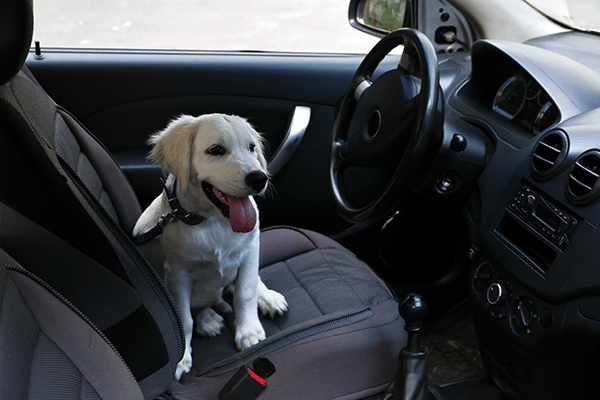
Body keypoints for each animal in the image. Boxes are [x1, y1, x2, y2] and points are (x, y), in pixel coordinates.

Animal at [134, 113, 288, 382]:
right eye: (216, 150)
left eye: (252, 147)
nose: (260, 179)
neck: (214, 221)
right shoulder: (177, 274)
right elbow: (183, 318)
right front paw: (182, 358)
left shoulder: (250, 250)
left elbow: (245, 291)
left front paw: (248, 331)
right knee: (198, 309)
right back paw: (208, 320)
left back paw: (267, 297)